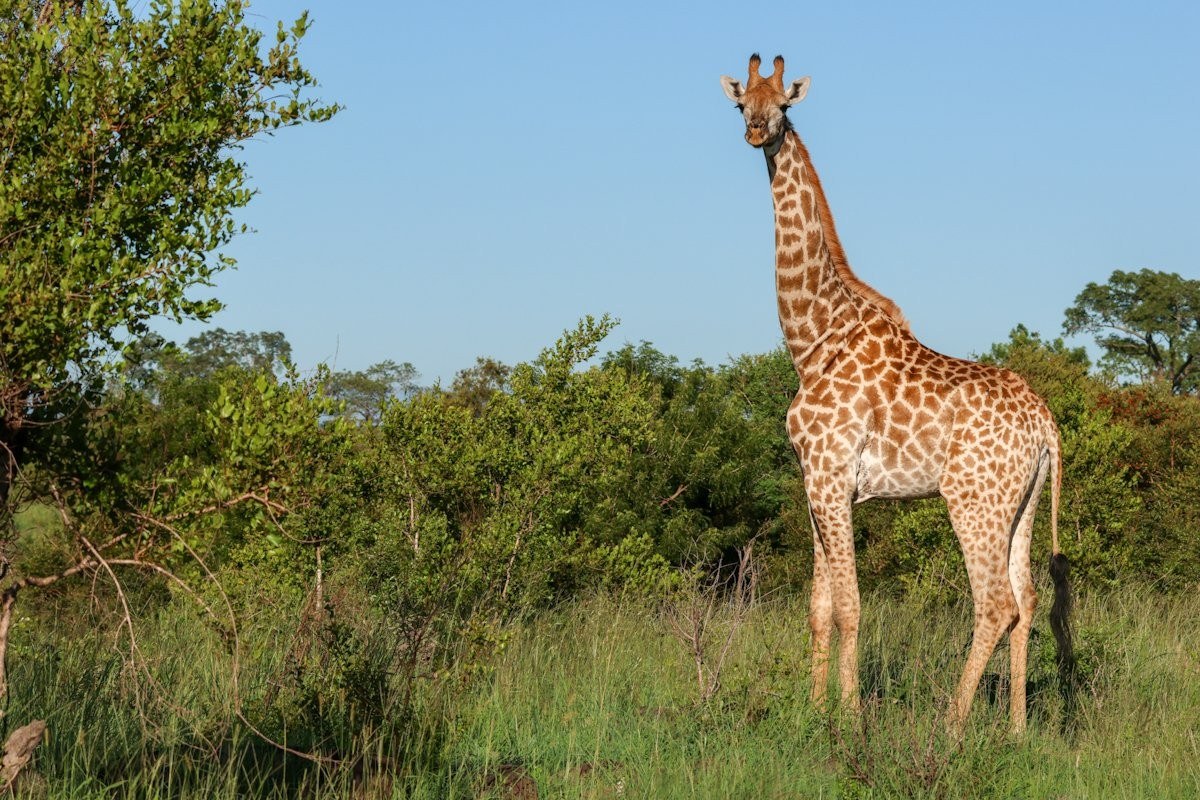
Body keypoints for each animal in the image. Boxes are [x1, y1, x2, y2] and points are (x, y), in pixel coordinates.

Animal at [719, 54, 1074, 733]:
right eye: (739, 103)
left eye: (784, 105)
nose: (755, 131)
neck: (811, 340)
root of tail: (1046, 424)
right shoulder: (816, 484)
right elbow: (819, 608)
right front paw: (815, 713)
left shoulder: (832, 478)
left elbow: (850, 606)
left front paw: (852, 718)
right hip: (1020, 503)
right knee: (1027, 599)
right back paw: (1017, 731)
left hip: (973, 500)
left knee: (995, 603)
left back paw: (953, 727)